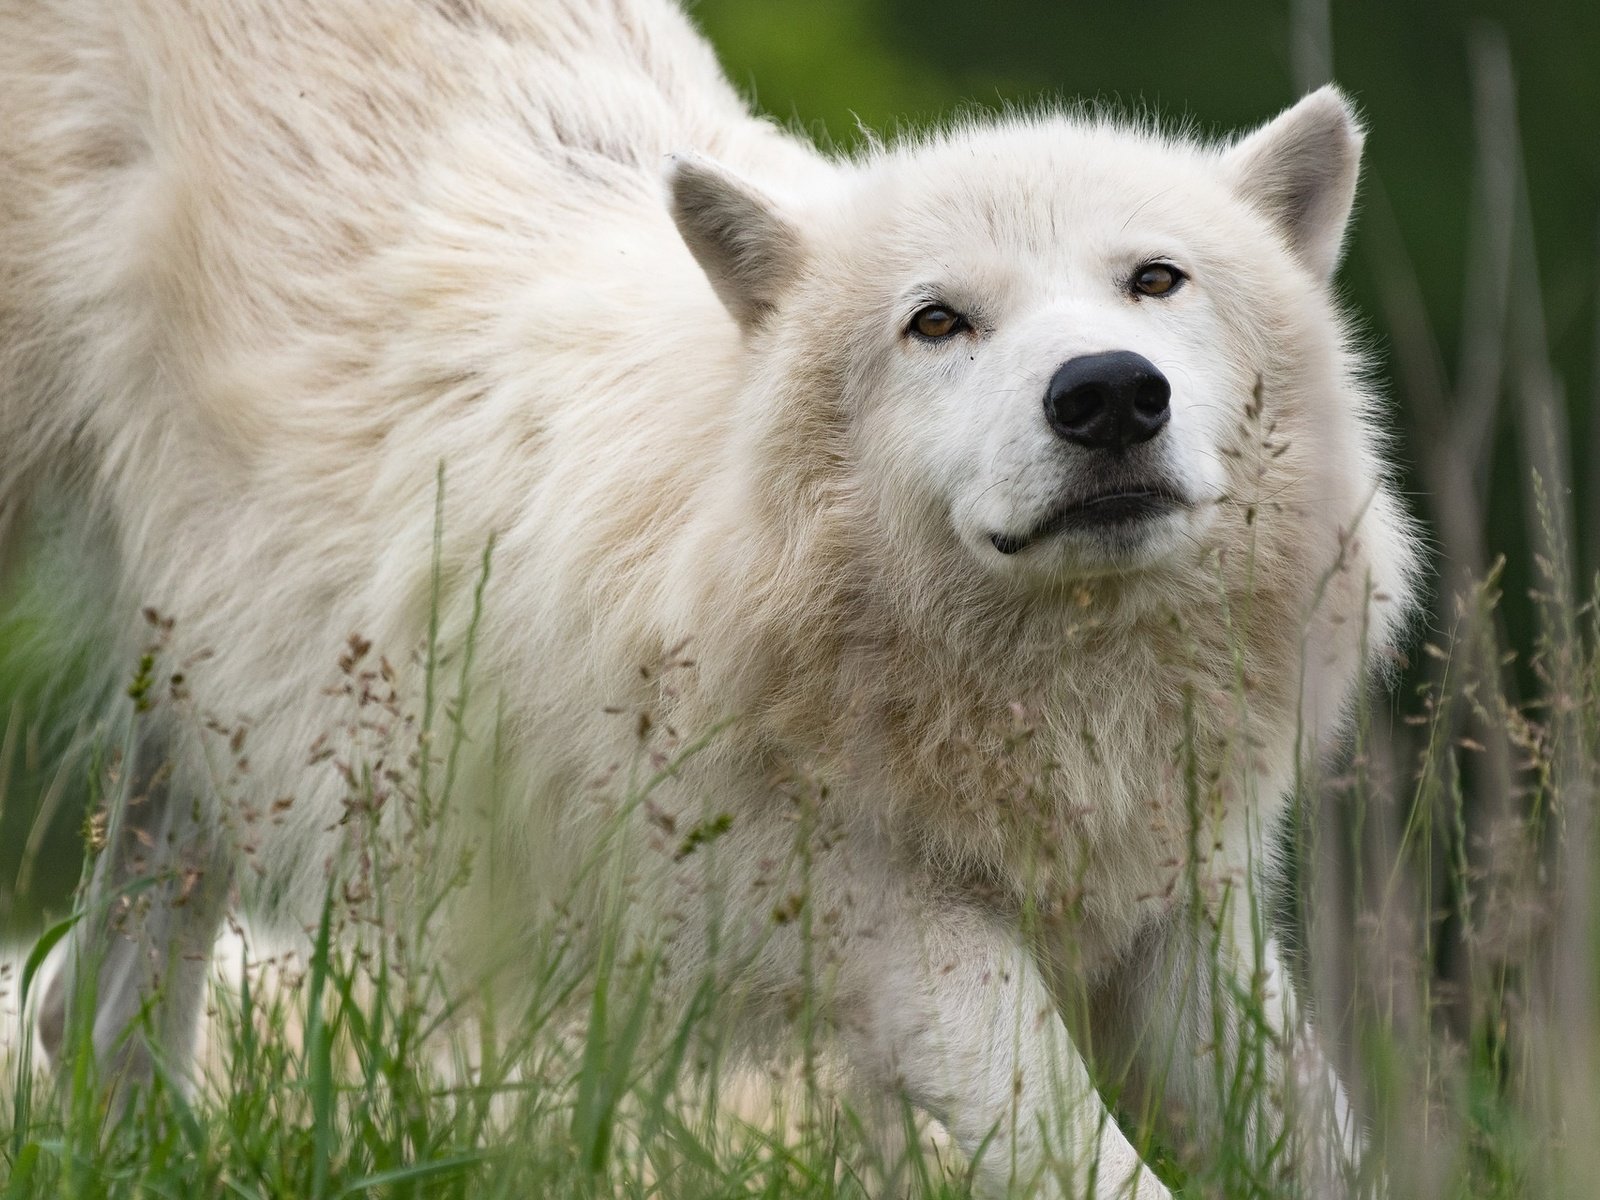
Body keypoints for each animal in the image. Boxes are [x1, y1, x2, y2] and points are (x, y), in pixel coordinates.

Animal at [0, 0, 1420, 1196]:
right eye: (937, 323)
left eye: (1156, 281)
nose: (1109, 393)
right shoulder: (891, 934)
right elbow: (1093, 1158)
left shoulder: (1176, 914)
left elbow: (1321, 1143)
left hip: (220, 693)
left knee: (88, 998)